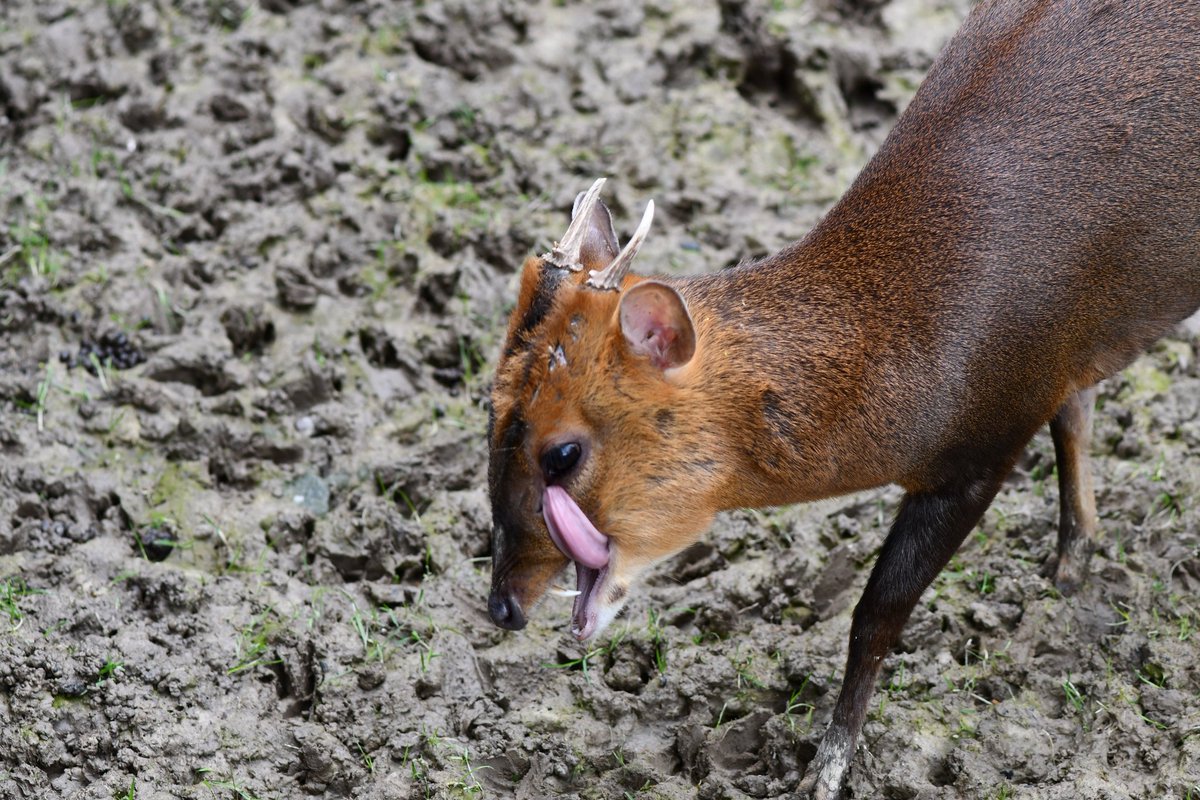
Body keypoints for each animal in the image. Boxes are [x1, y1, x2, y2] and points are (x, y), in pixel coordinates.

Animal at [484, 0, 1200, 796]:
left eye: (562, 453)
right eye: (490, 410)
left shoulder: (985, 440)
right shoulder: (1057, 361)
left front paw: (824, 769)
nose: (502, 605)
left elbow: (875, 615)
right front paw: (1070, 563)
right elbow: (1075, 411)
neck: (913, 341)